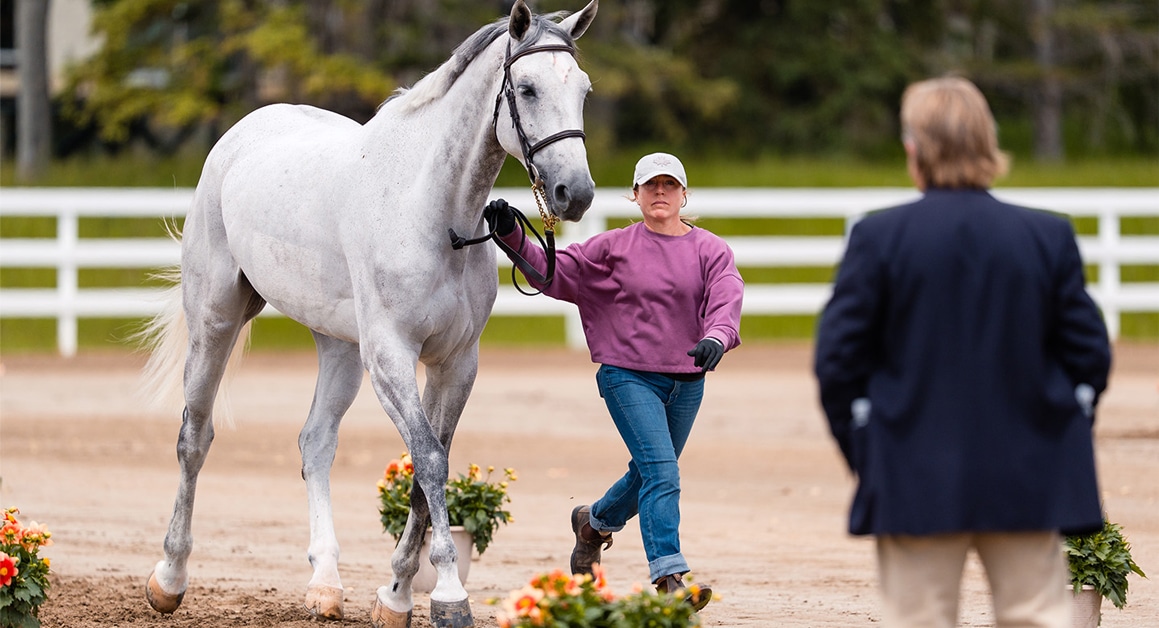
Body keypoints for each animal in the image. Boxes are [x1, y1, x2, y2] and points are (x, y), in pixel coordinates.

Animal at [139, 2, 598, 627]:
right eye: (525, 88)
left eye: (583, 89)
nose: (576, 192)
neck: (431, 212)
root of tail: (238, 135)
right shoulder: (391, 358)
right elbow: (429, 461)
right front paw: (448, 595)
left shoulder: (456, 364)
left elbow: (427, 471)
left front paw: (398, 594)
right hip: (216, 319)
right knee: (194, 437)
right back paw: (169, 578)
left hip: (339, 347)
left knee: (315, 443)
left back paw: (325, 585)